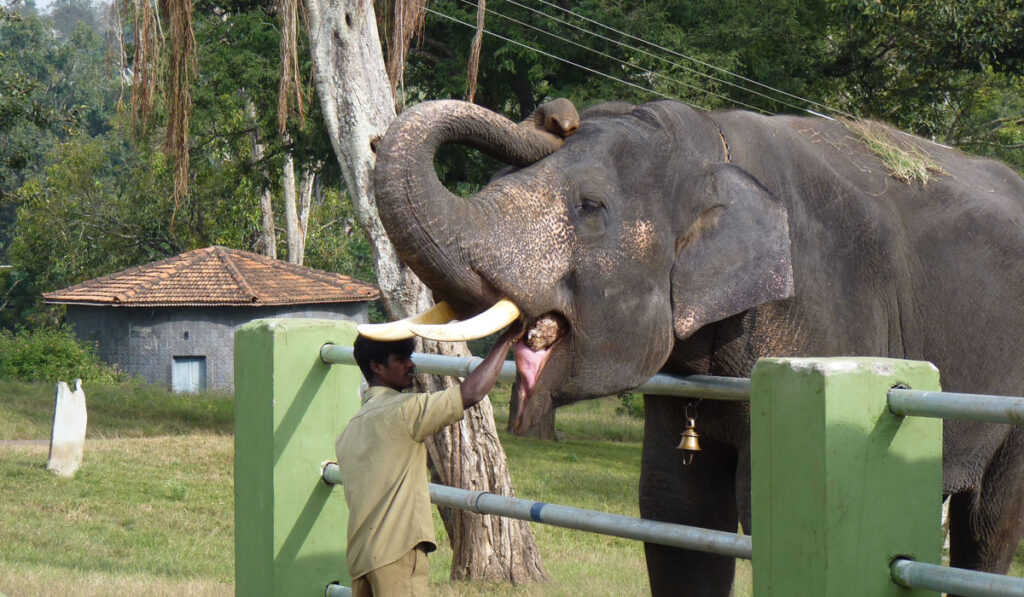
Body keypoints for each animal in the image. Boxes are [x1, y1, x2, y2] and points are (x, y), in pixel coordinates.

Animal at [362, 97, 1024, 596]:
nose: (556, 114)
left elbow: (764, 506)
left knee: (988, 526)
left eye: (590, 207)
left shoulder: (826, 311)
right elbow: (676, 513)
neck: (712, 143)